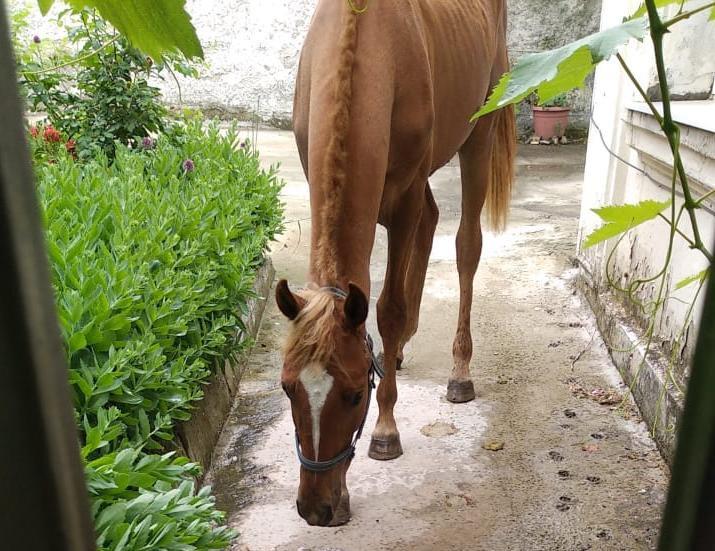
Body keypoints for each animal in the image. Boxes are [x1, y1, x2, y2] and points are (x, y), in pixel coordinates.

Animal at [274, 0, 516, 528]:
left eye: (353, 394)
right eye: (287, 389)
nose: (316, 508)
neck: (369, 45)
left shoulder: (403, 195)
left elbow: (389, 307)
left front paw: (386, 430)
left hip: (479, 134)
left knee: (465, 245)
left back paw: (459, 370)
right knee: (432, 219)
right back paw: (398, 352)